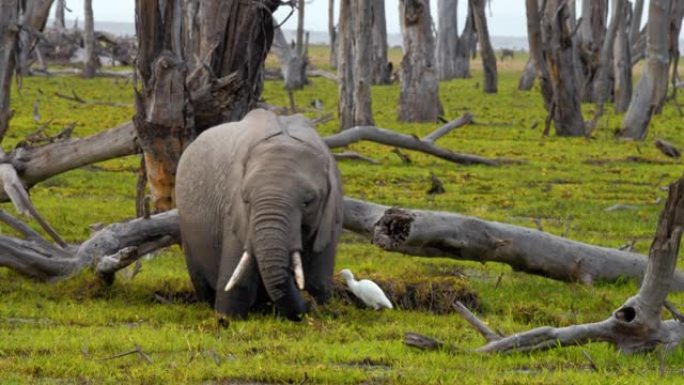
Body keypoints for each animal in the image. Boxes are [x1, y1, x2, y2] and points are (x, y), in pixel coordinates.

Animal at [176, 109, 342, 320]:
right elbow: (239, 282)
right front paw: (227, 318)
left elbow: (319, 281)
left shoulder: (331, 216)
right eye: (246, 200)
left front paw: (322, 309)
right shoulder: (234, 212)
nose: (308, 305)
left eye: (308, 202)